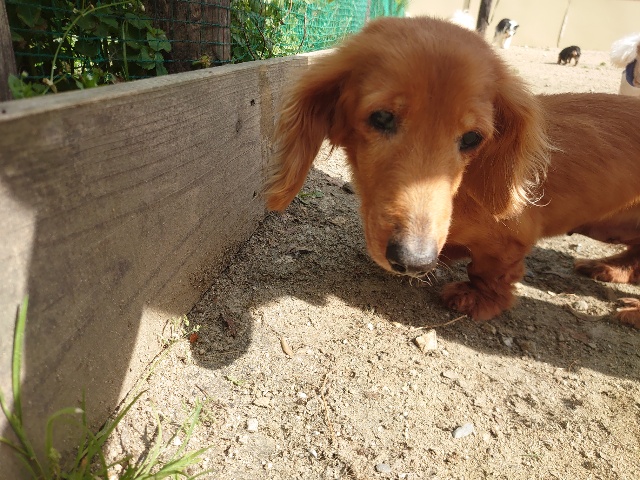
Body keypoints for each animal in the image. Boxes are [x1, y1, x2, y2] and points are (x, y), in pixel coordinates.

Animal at [265, 17, 640, 327]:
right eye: (381, 117)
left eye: (472, 138)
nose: (413, 261)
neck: (461, 194)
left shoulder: (512, 240)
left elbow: (492, 272)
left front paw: (477, 299)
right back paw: (609, 268)